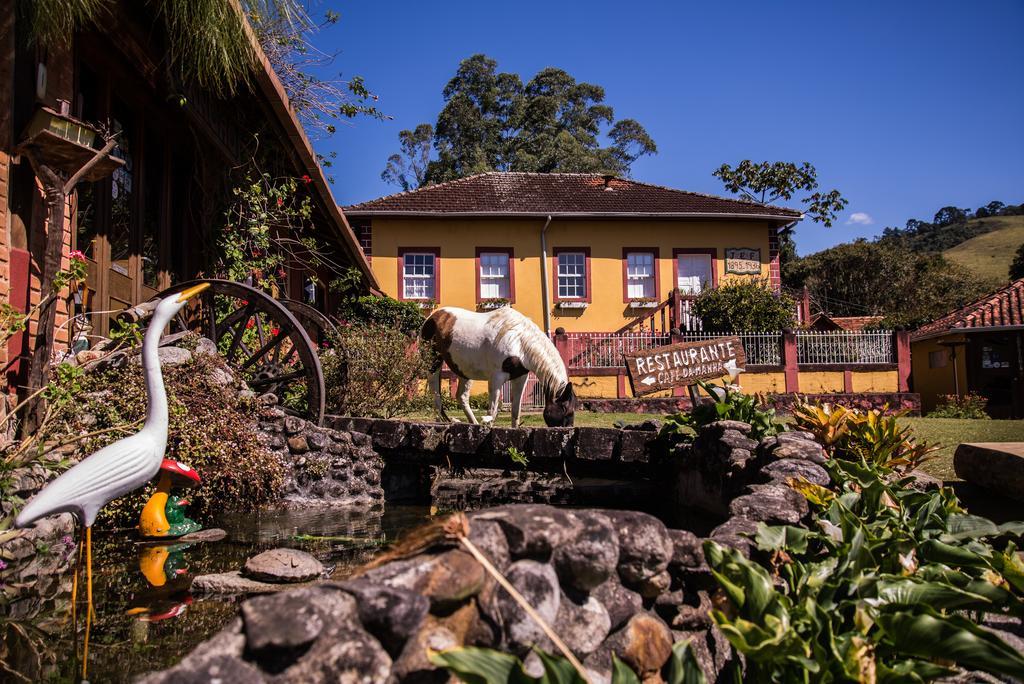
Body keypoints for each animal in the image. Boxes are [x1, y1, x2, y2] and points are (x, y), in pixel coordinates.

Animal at [417, 305, 577, 428]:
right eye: (565, 409)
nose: (568, 428)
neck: (519, 341)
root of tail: (432, 317)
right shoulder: (497, 378)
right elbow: (492, 412)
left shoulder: (521, 377)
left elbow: (516, 411)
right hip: (433, 361)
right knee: (435, 392)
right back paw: (440, 421)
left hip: (464, 371)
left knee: (461, 397)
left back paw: (473, 423)